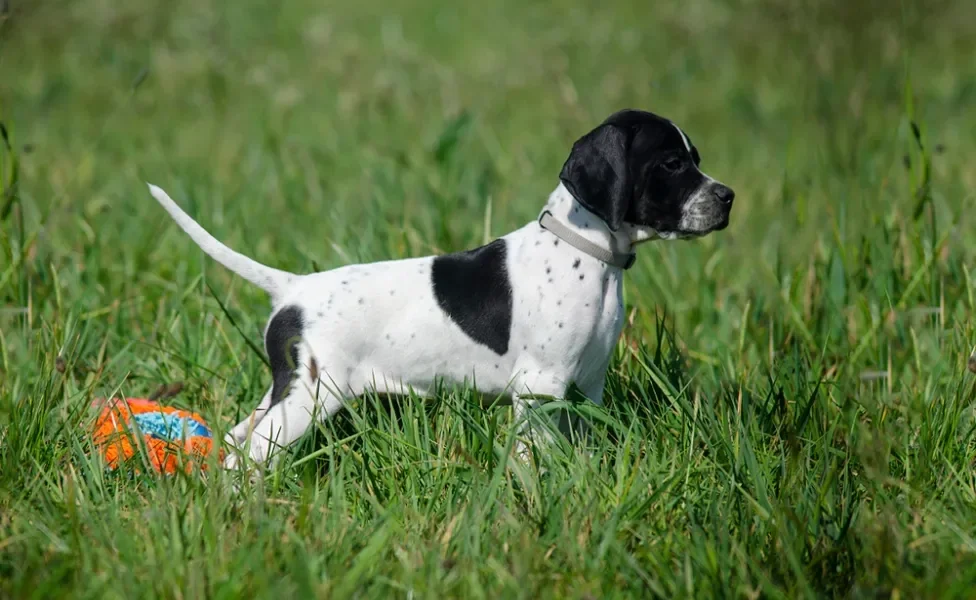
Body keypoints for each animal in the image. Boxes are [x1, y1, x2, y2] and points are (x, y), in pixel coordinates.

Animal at [147, 110, 732, 472]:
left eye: (696, 158)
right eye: (672, 164)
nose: (728, 197)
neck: (586, 252)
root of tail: (293, 288)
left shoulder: (587, 386)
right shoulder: (539, 389)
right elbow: (530, 455)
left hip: (285, 391)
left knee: (236, 438)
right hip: (311, 398)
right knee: (242, 457)